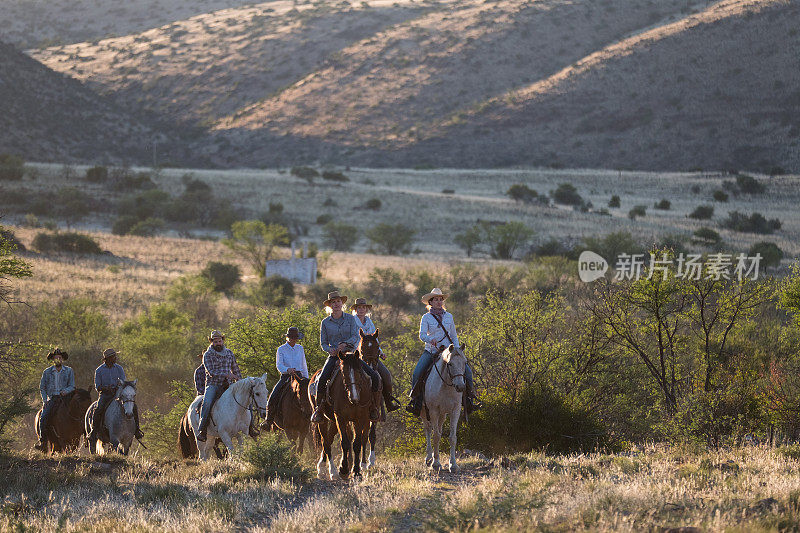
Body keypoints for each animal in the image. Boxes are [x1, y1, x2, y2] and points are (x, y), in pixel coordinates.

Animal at [310, 352, 376, 480]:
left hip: (335, 420)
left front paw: (356, 471)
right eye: (343, 372)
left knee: (329, 439)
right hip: (324, 420)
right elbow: (344, 443)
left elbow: (357, 443)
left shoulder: (359, 418)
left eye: (359, 371)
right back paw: (330, 471)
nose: (354, 397)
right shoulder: (340, 417)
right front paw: (344, 470)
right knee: (326, 442)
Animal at [418, 344, 468, 474]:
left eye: (465, 362)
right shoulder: (433, 411)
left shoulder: (455, 411)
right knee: (428, 429)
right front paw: (436, 464)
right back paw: (429, 458)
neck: (446, 385)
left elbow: (452, 437)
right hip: (424, 412)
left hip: (442, 414)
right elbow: (436, 436)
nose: (460, 387)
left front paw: (453, 465)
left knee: (439, 429)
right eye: (450, 364)